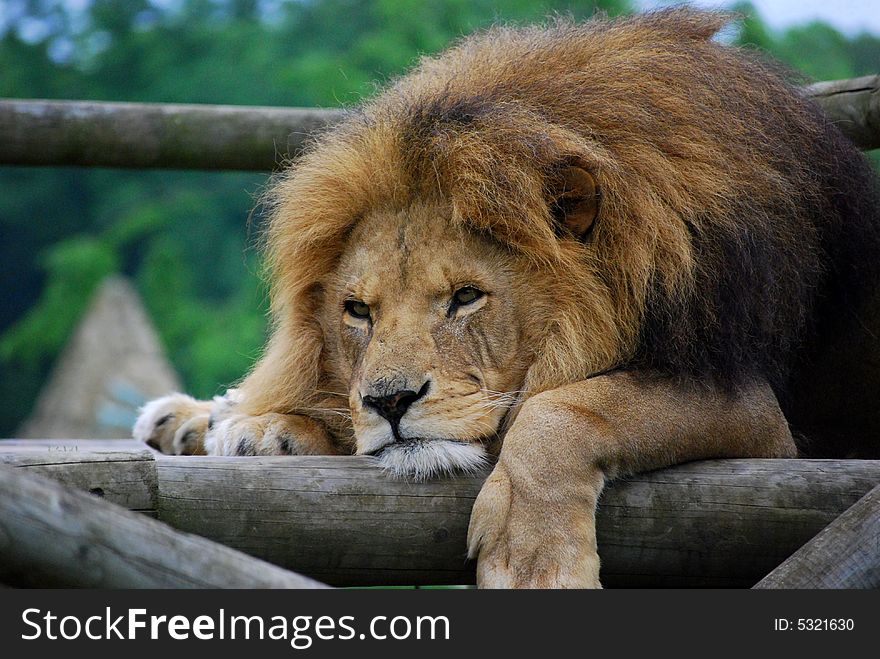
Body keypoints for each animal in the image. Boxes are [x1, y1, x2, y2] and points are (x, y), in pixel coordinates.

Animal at [134, 10, 880, 588]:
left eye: (466, 297)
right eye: (358, 311)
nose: (389, 402)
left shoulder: (755, 410)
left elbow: (563, 408)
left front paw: (533, 563)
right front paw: (258, 423)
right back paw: (211, 419)